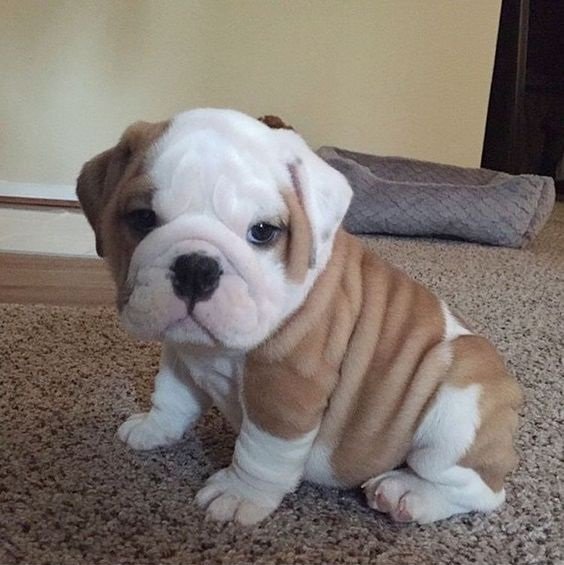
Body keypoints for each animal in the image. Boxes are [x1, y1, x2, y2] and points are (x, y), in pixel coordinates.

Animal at [77, 109, 524, 524]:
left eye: (262, 231)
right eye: (142, 218)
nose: (196, 267)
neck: (212, 351)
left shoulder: (284, 386)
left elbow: (261, 451)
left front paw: (239, 494)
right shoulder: (181, 352)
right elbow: (171, 395)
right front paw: (154, 428)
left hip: (454, 409)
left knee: (478, 489)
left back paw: (407, 493)